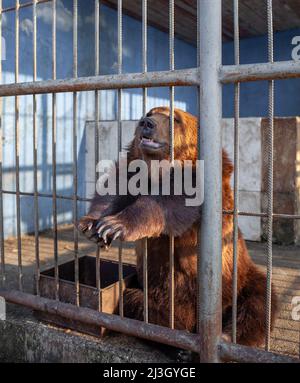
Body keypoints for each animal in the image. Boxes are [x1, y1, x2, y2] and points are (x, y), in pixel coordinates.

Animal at [78, 106, 278, 346]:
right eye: (150, 112)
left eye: (175, 119)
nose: (146, 123)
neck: (157, 171)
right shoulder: (133, 171)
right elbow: (113, 189)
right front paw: (93, 225)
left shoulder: (196, 181)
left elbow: (166, 203)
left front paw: (115, 224)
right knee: (137, 301)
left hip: (239, 278)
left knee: (258, 304)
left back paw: (224, 334)